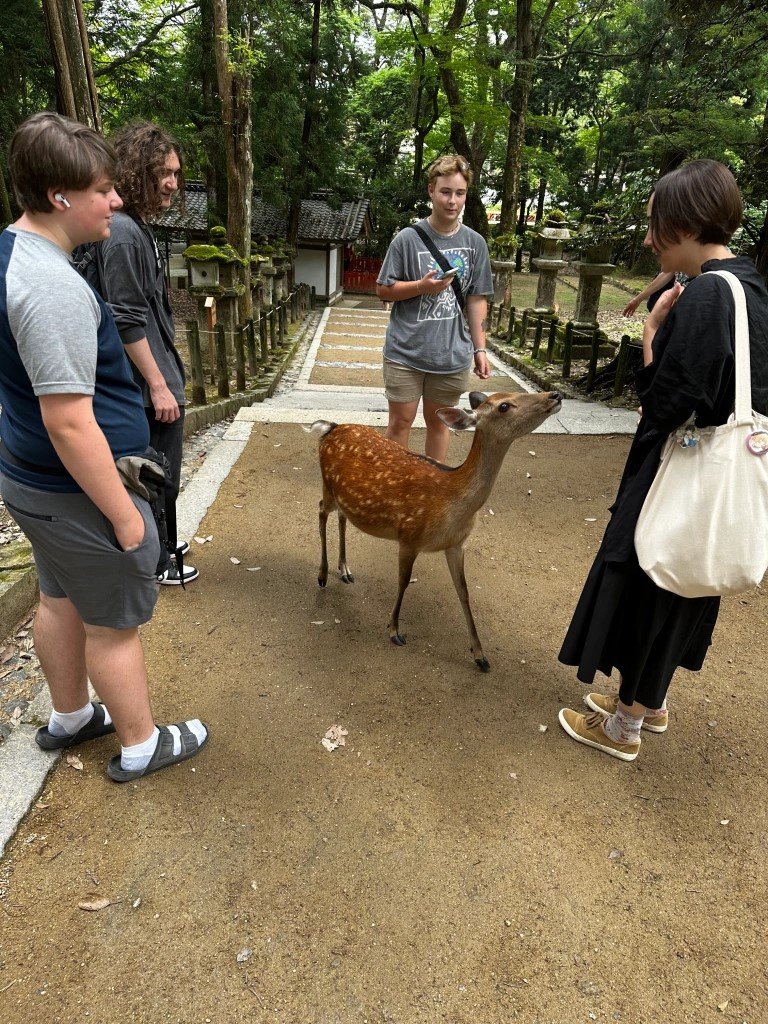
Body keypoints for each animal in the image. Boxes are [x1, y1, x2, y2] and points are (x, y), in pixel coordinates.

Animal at [309, 387, 565, 667]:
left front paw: (480, 654)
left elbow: (463, 591)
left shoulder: (456, 545)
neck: (451, 500)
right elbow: (403, 582)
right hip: (327, 485)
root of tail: (331, 427)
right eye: (504, 406)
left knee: (342, 517)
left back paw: (345, 570)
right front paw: (394, 631)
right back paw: (322, 575)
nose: (555, 394)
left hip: (344, 496)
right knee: (320, 510)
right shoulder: (409, 536)